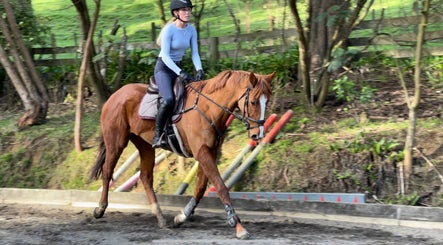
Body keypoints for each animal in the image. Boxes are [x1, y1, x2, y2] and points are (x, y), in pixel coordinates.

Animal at [89, 69, 274, 239]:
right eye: (253, 102)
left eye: (267, 101)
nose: (258, 135)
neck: (209, 108)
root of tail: (115, 94)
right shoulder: (202, 152)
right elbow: (220, 186)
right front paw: (238, 226)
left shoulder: (210, 151)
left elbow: (200, 188)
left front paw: (181, 217)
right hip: (116, 142)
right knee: (107, 171)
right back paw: (100, 209)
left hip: (145, 145)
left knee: (145, 177)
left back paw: (160, 217)